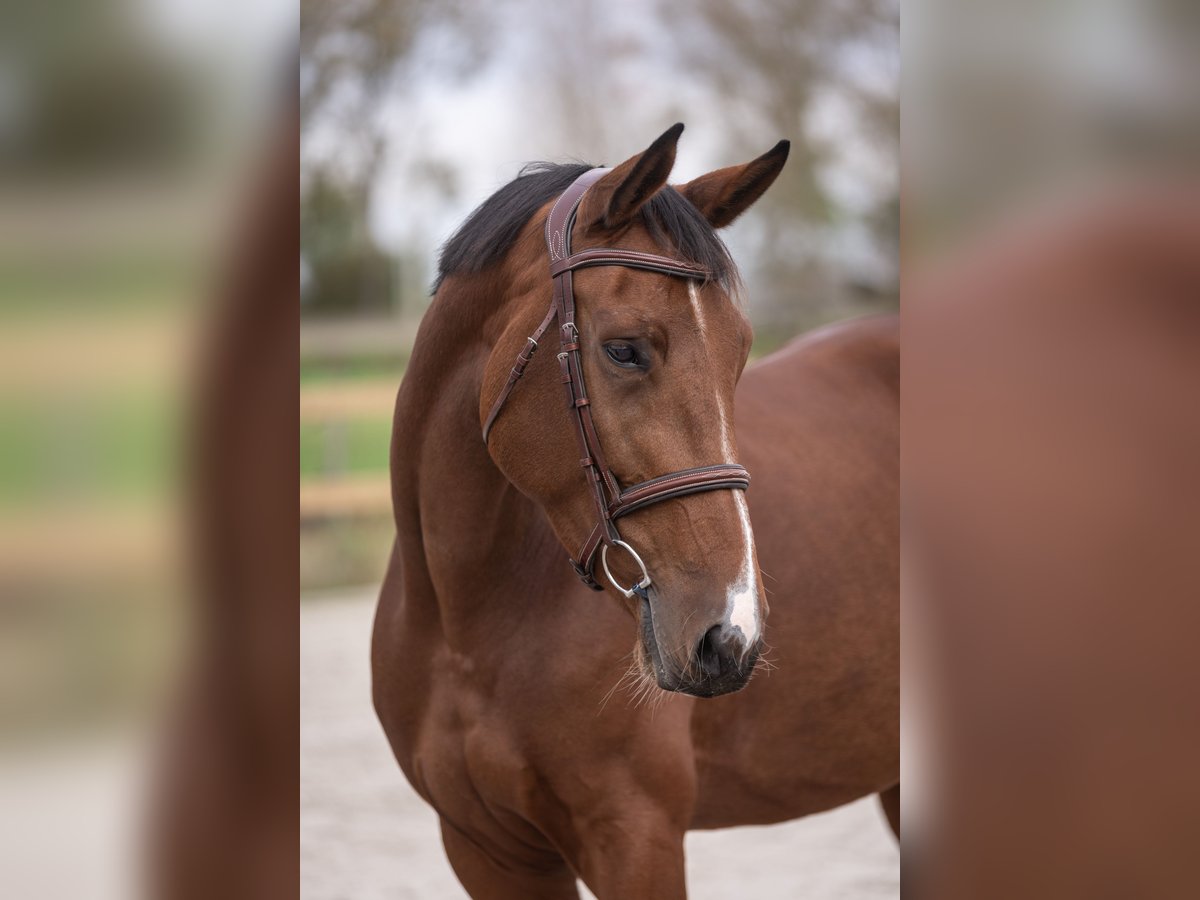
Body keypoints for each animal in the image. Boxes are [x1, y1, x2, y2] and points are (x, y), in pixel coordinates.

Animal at [374, 127, 902, 900]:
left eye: (740, 352)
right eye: (623, 349)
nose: (729, 635)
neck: (465, 623)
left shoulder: (633, 837)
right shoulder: (485, 849)